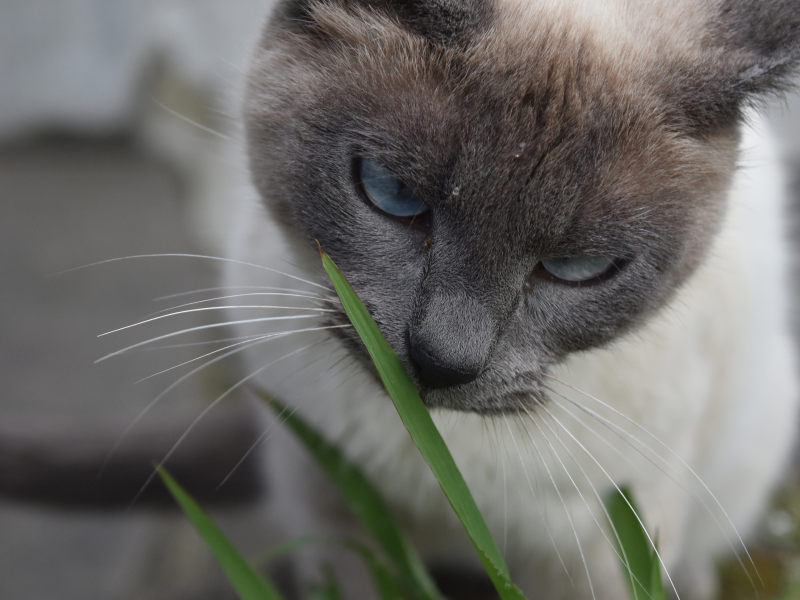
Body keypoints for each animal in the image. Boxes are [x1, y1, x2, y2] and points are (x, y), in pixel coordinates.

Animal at [216, 1, 800, 600]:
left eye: (577, 268)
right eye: (393, 193)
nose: (441, 361)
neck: (438, 458)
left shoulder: (597, 554)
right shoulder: (335, 506)